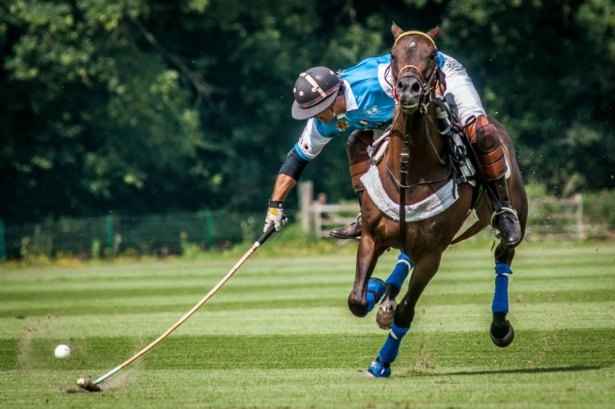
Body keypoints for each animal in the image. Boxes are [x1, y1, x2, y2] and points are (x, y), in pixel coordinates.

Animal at [348, 23, 532, 378]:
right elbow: (357, 300)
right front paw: (377, 292)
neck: (410, 169)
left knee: (504, 255)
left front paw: (382, 362)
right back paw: (386, 292)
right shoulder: (372, 237)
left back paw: (500, 325)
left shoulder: (432, 254)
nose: (408, 89)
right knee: (402, 259)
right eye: (393, 53)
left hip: (514, 211)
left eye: (432, 55)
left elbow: (406, 312)